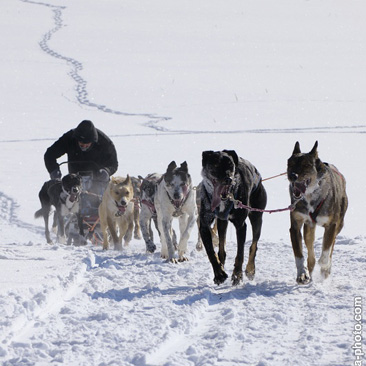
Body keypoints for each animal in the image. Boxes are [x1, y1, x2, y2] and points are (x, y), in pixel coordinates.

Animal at [200, 150, 266, 284]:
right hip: (222, 222)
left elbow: (240, 253)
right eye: (215, 164)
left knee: (254, 245)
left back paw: (250, 269)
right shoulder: (203, 225)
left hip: (257, 217)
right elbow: (211, 252)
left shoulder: (240, 225)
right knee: (221, 249)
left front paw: (237, 275)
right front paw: (219, 273)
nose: (228, 179)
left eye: (230, 164)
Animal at [288, 140, 348, 284]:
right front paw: (302, 273)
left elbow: (326, 250)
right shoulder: (296, 225)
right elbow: (299, 254)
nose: (292, 176)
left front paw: (324, 264)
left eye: (305, 165)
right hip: (309, 228)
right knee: (310, 251)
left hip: (339, 224)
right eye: (290, 164)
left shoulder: (331, 225)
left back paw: (325, 268)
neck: (311, 197)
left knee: (331, 246)